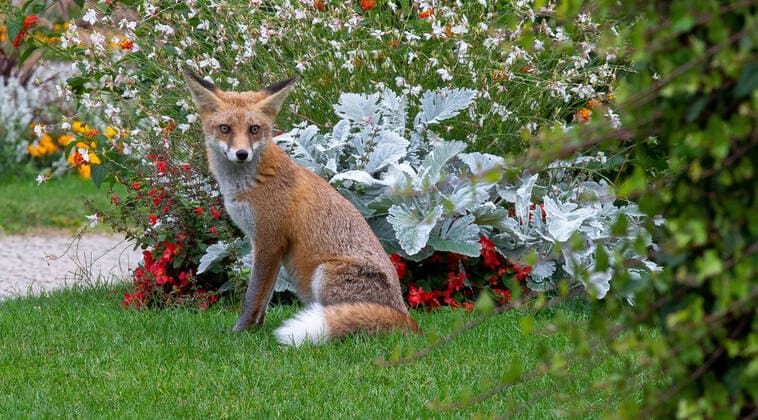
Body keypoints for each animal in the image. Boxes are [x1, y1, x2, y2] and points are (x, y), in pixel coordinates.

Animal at [183, 70, 419, 346]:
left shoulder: (269, 240)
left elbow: (252, 296)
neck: (250, 183)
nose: (242, 154)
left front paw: (240, 332)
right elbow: (264, 297)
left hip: (324, 273)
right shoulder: (267, 246)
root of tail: (405, 317)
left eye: (254, 129)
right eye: (224, 129)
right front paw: (256, 329)